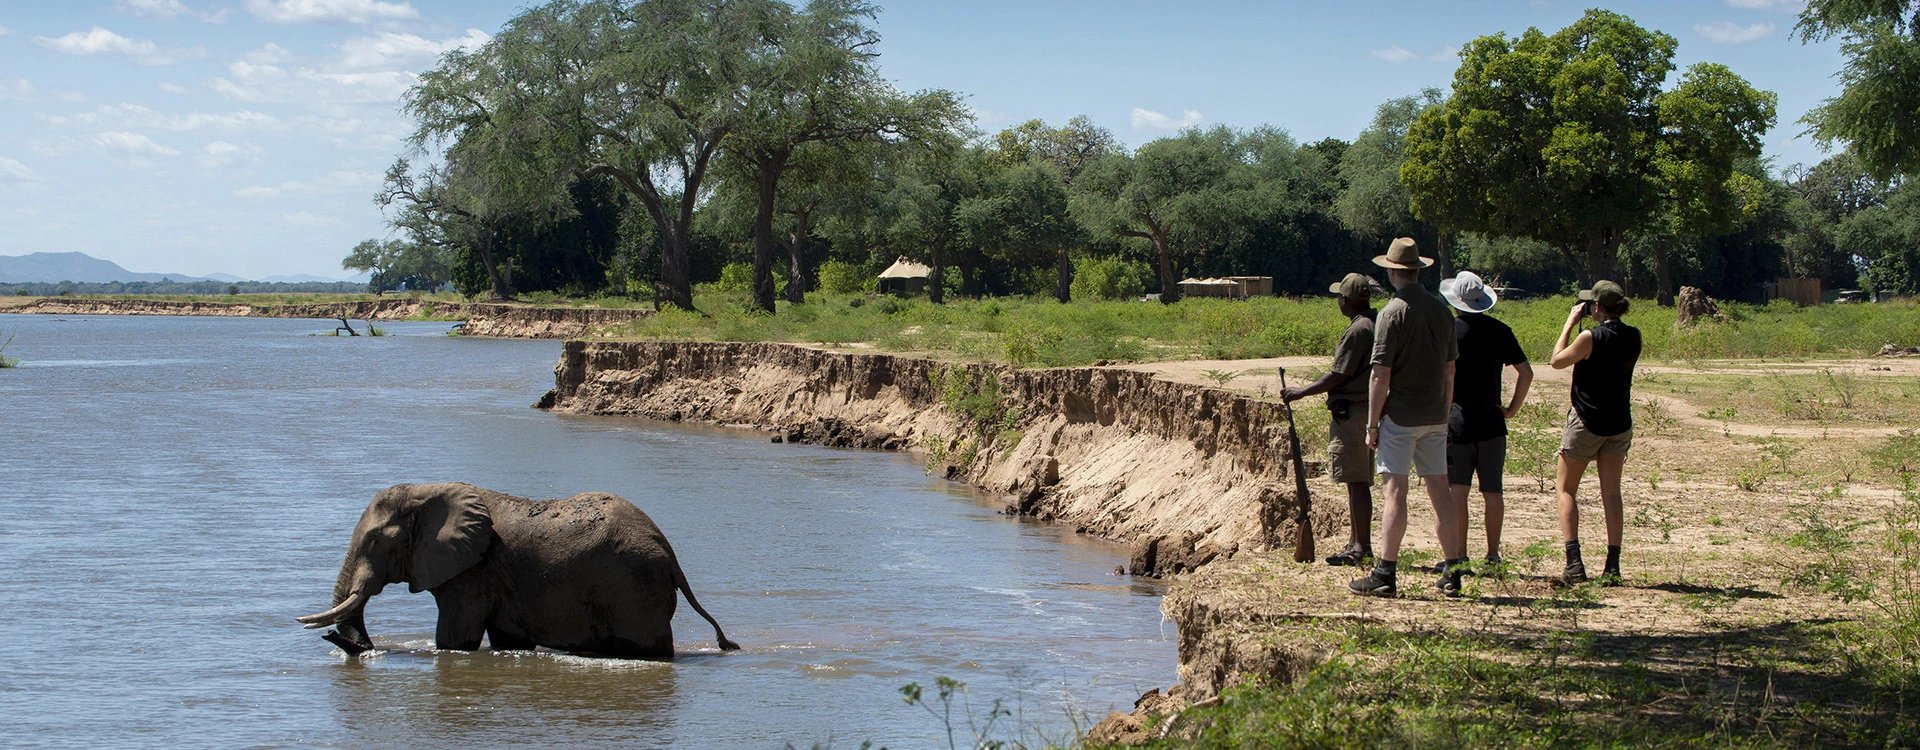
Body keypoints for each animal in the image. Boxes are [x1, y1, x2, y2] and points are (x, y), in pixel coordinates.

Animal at [295, 485, 737, 659]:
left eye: (374, 542)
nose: (330, 637)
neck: (427, 492)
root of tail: (669, 551)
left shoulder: (473, 575)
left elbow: (455, 640)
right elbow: (508, 638)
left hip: (633, 588)